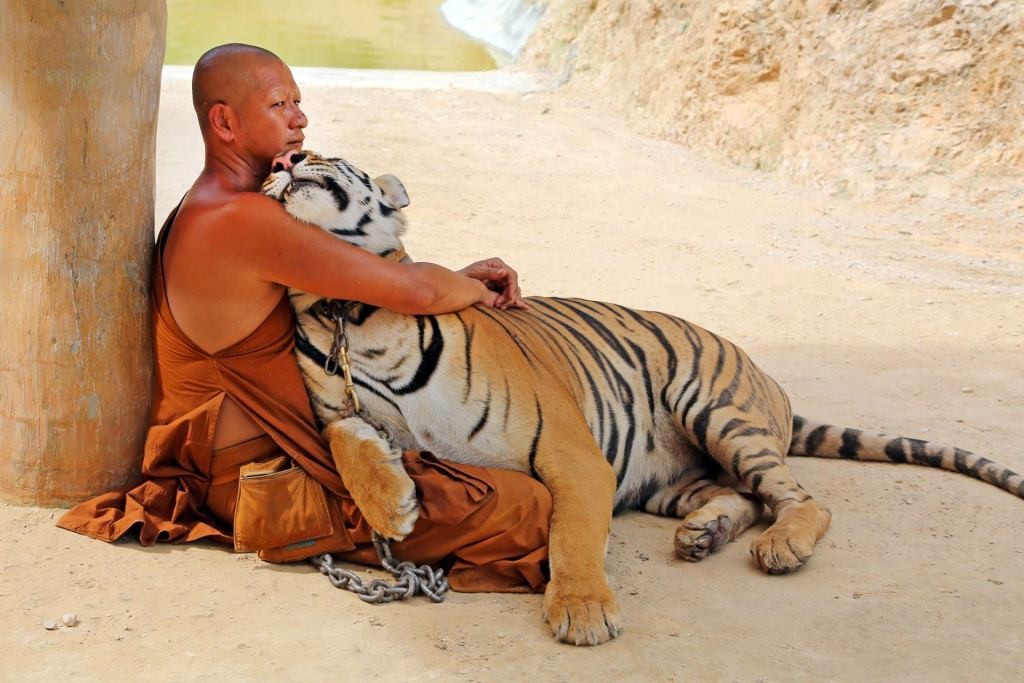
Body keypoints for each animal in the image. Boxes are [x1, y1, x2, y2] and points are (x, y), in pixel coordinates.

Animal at [262, 149, 1024, 647]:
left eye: (328, 154)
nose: (291, 156)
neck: (347, 309)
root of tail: (768, 379)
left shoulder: (570, 450)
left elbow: (572, 535)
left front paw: (582, 610)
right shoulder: (339, 409)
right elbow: (344, 438)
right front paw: (393, 502)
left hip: (714, 410)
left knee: (801, 498)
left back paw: (781, 546)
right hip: (669, 479)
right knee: (743, 497)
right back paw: (703, 534)